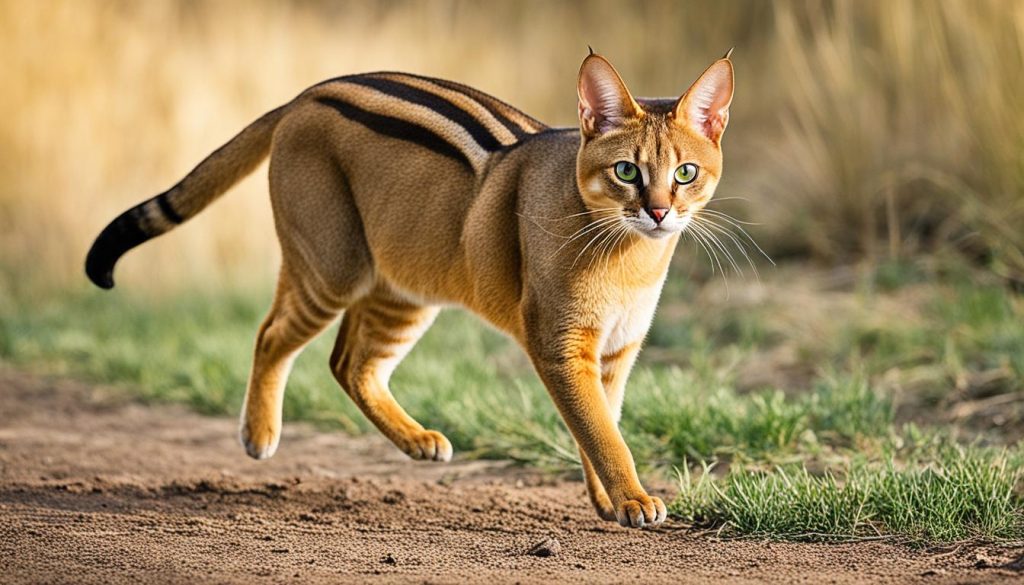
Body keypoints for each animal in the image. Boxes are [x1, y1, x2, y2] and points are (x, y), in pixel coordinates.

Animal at [83, 50, 733, 528]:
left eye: (685, 173)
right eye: (626, 170)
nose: (658, 211)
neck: (631, 258)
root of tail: (309, 92)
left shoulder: (617, 350)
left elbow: (605, 421)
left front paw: (608, 501)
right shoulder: (561, 343)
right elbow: (600, 429)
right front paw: (631, 499)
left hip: (402, 287)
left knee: (349, 361)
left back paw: (417, 440)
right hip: (333, 267)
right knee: (272, 334)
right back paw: (260, 435)